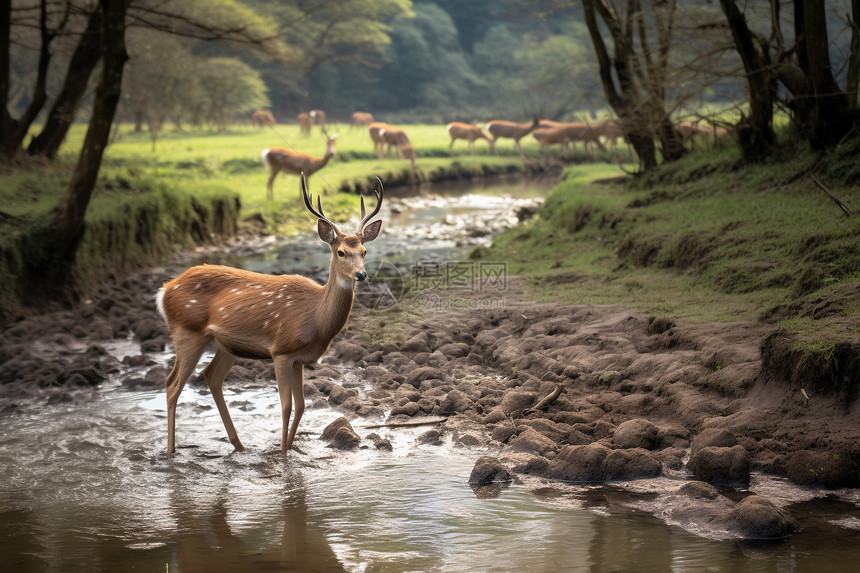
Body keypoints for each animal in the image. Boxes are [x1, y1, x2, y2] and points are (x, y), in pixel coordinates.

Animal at [156, 172, 384, 454]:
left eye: (364, 251)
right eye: (341, 252)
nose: (362, 274)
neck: (314, 319)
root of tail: (165, 291)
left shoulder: (299, 358)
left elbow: (301, 406)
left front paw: (290, 448)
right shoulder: (281, 351)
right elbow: (286, 406)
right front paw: (282, 452)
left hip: (226, 345)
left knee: (211, 377)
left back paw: (239, 445)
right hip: (187, 331)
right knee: (172, 385)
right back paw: (170, 450)